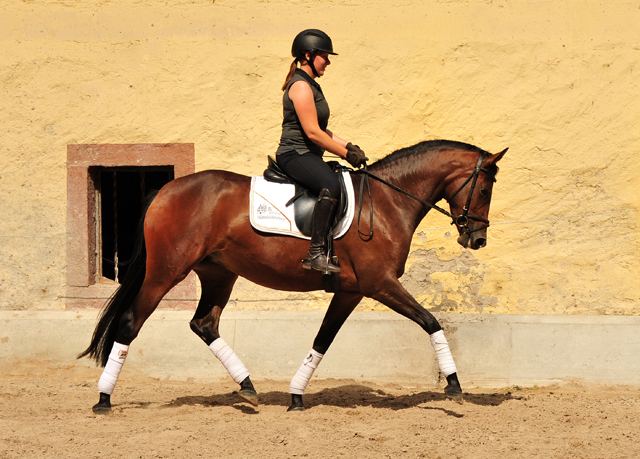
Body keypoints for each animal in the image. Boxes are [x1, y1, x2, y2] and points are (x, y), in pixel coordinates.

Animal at [79, 139, 504, 414]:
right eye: (485, 188)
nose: (477, 239)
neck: (386, 201)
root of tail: (166, 190)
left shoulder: (351, 291)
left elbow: (322, 340)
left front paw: (297, 395)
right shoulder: (380, 284)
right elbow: (431, 321)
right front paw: (454, 384)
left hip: (219, 274)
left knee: (204, 323)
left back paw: (248, 387)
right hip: (166, 271)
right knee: (131, 322)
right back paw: (103, 400)